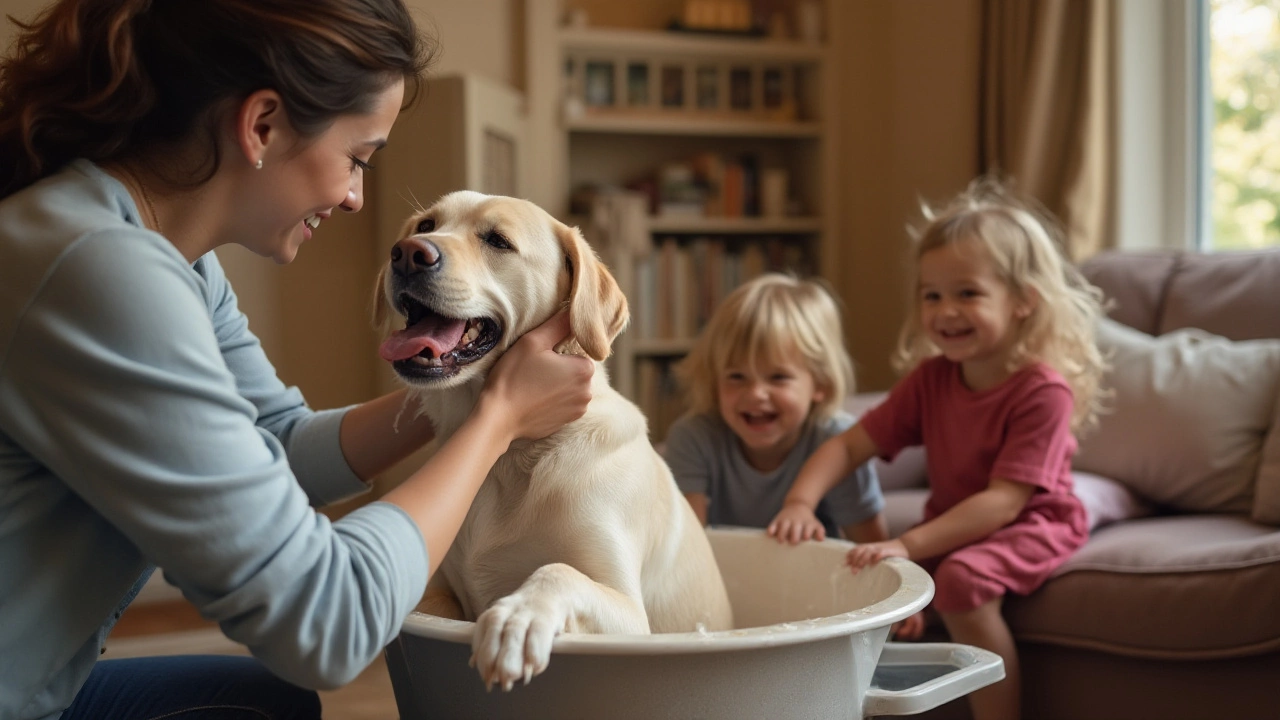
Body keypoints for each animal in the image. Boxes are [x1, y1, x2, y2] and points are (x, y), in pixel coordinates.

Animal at [373, 190, 732, 691]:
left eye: (498, 241)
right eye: (427, 225)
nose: (407, 253)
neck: (508, 455)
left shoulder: (630, 612)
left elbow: (558, 571)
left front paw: (517, 618)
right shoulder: (439, 587)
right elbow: (435, 604)